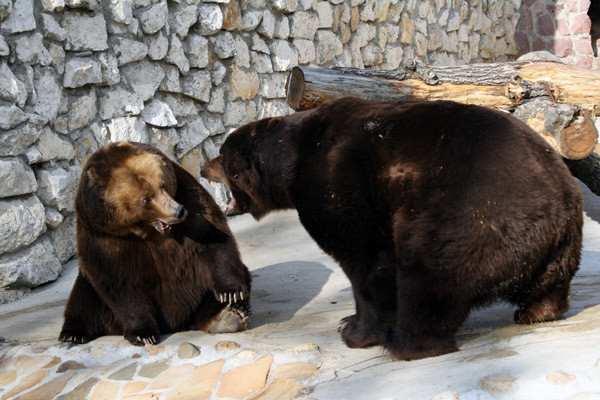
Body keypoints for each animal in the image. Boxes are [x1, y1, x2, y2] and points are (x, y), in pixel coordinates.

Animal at [58, 142, 251, 346]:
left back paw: (228, 315)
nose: (178, 211)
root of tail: (175, 325)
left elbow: (213, 238)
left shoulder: (188, 197)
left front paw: (230, 293)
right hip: (92, 292)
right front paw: (143, 334)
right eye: (145, 198)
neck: (144, 230)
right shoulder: (103, 235)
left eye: (163, 184)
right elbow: (120, 282)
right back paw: (73, 333)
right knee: (83, 299)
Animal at [200, 96, 580, 360]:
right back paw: (539, 310)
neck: (289, 167)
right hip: (558, 246)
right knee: (548, 284)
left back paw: (404, 341)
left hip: (468, 212)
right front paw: (347, 321)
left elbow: (365, 260)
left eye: (221, 154)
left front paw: (354, 330)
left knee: (429, 273)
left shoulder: (340, 187)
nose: (203, 165)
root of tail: (557, 204)